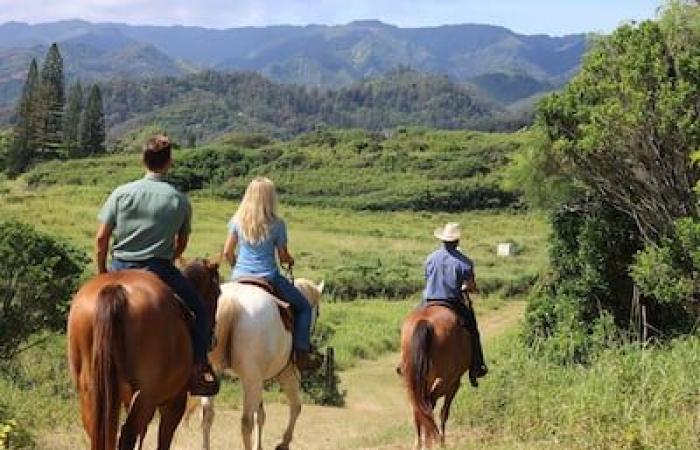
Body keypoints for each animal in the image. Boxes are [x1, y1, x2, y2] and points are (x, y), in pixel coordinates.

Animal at [67, 256, 221, 450]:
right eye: (218, 293)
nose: (213, 339)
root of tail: (115, 288)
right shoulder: (174, 402)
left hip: (92, 394)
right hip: (146, 396)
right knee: (127, 435)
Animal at [190, 278, 324, 450]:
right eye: (317, 313)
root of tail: (232, 301)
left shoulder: (259, 379)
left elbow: (260, 414)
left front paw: (259, 445)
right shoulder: (286, 373)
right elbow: (296, 406)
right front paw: (284, 442)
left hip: (218, 376)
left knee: (207, 415)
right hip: (253, 378)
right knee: (246, 422)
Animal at [400, 304, 470, 448]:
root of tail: (424, 322)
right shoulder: (454, 383)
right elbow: (444, 412)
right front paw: (442, 441)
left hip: (414, 379)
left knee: (418, 407)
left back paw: (421, 443)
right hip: (445, 379)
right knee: (429, 404)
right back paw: (434, 440)